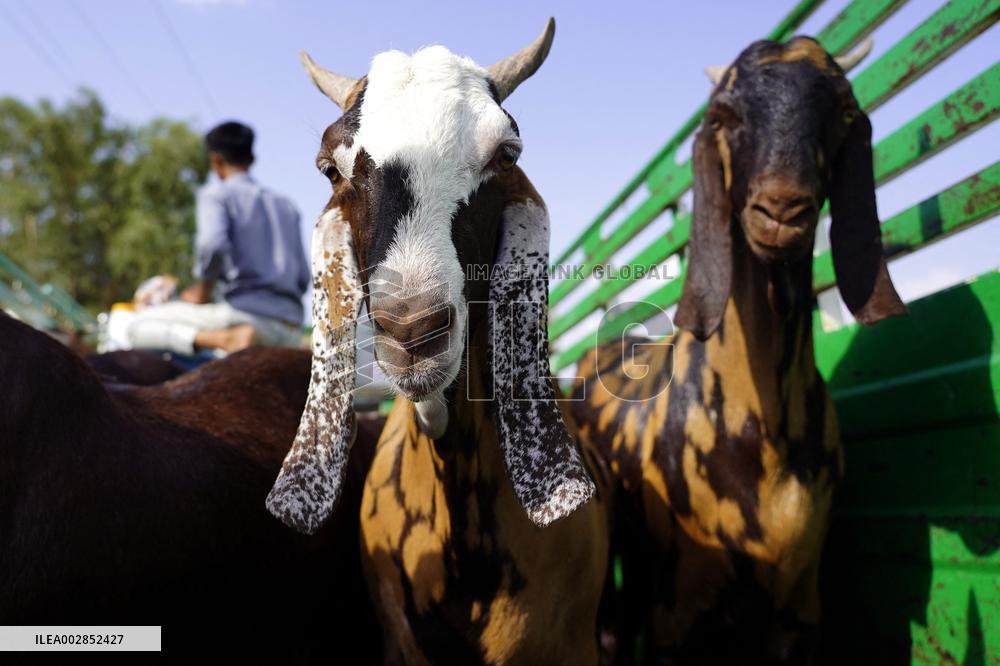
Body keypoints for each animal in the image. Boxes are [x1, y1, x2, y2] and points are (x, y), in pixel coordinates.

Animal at [570, 37, 906, 664]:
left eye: (844, 110)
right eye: (725, 116)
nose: (781, 210)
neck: (765, 433)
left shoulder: (799, 611)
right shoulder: (675, 614)